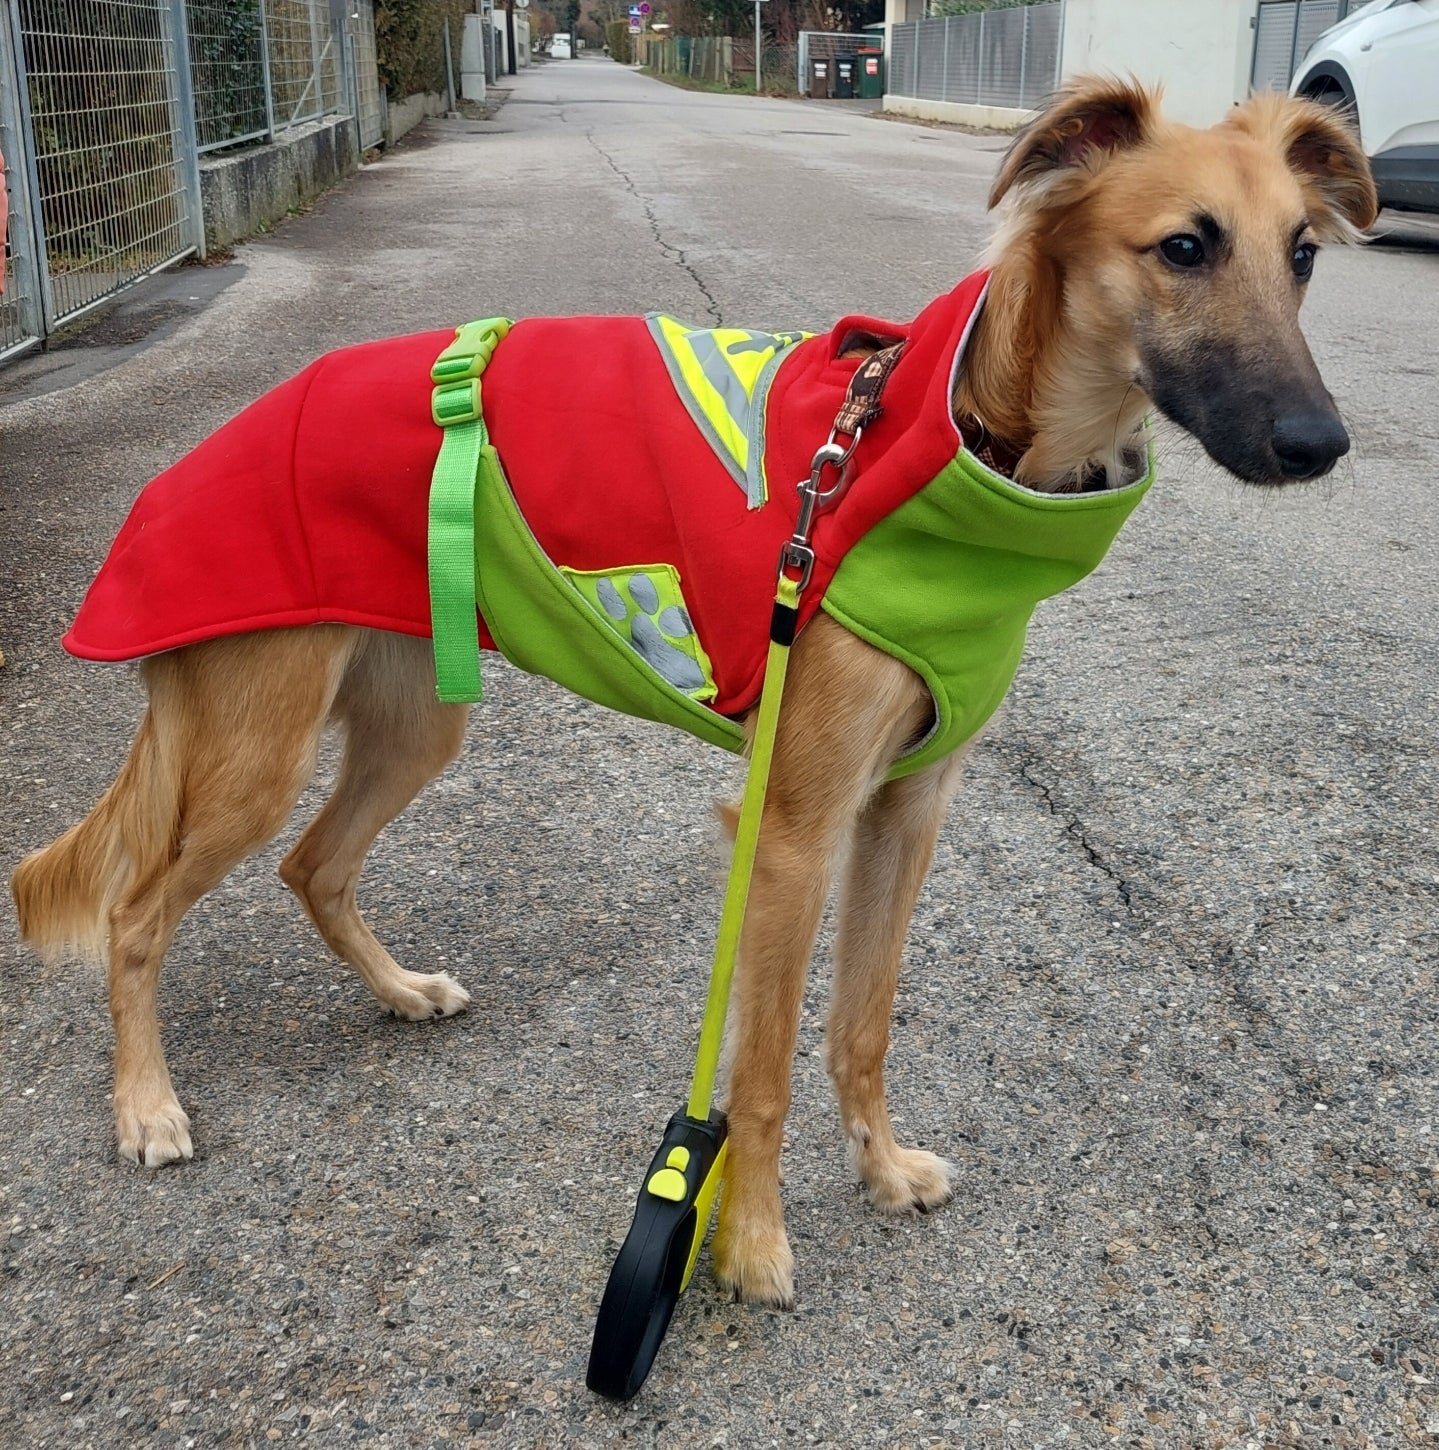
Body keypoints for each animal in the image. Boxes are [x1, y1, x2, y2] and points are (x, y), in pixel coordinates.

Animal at [14, 82, 1380, 1316]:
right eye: (1184, 246)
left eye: (1303, 254)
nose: (1318, 445)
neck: (971, 438)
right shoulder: (791, 832)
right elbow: (760, 1068)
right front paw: (751, 1246)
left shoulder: (905, 812)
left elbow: (861, 1025)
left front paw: (879, 1170)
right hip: (255, 751)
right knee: (135, 916)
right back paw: (146, 1106)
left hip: (411, 723)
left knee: (315, 867)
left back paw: (398, 993)